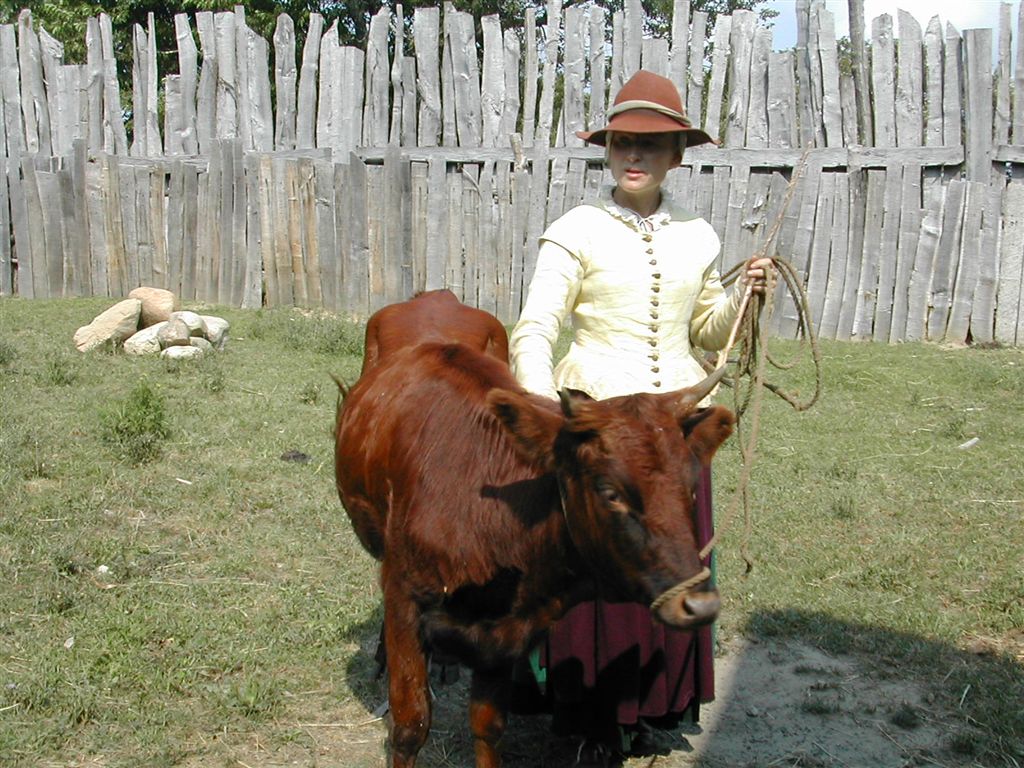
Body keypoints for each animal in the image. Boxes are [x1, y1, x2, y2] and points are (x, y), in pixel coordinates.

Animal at [335, 344, 737, 768]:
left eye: (690, 488)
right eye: (609, 491)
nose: (699, 605)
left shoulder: (503, 633)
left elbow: (488, 725)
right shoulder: (405, 598)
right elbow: (411, 725)